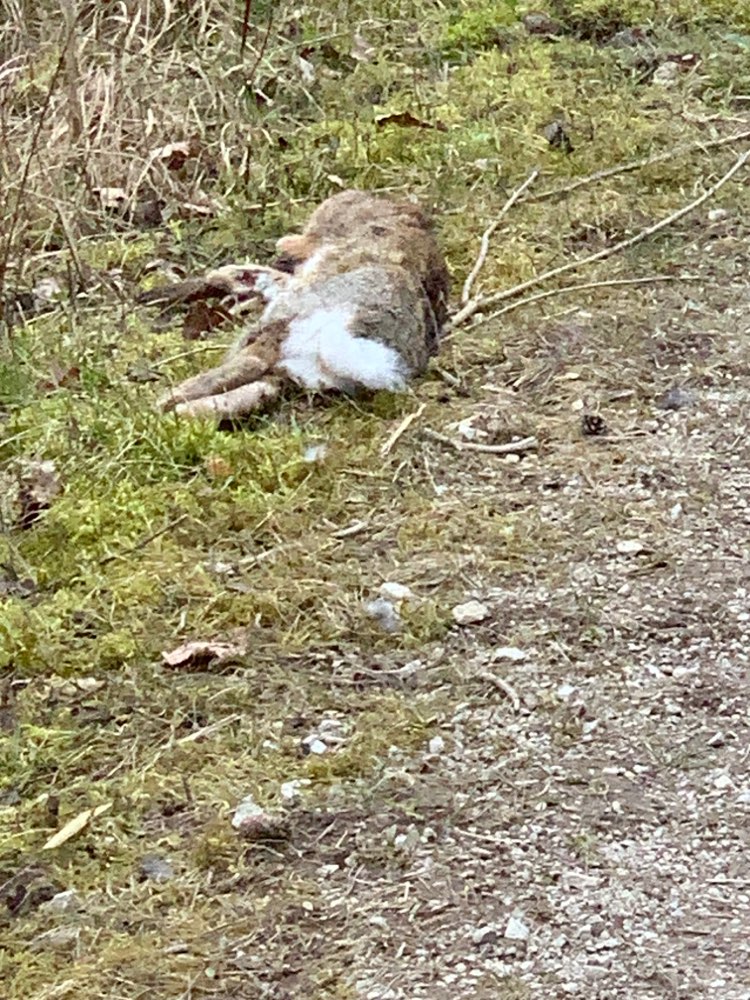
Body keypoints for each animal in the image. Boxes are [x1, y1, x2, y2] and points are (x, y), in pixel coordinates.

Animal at [140, 189, 450, 419]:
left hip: (281, 327)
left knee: (247, 364)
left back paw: (165, 403)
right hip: (287, 366)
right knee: (255, 391)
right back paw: (182, 413)